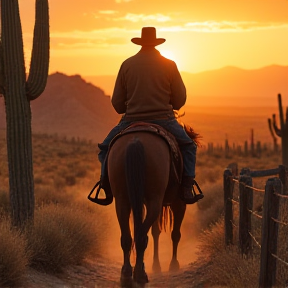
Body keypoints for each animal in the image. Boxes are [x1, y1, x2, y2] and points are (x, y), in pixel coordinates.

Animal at [108, 125, 196, 284]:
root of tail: (135, 141)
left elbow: (155, 231)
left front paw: (156, 265)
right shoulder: (179, 204)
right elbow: (175, 234)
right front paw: (173, 265)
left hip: (123, 200)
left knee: (128, 237)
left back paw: (126, 274)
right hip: (155, 201)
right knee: (141, 236)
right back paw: (140, 274)